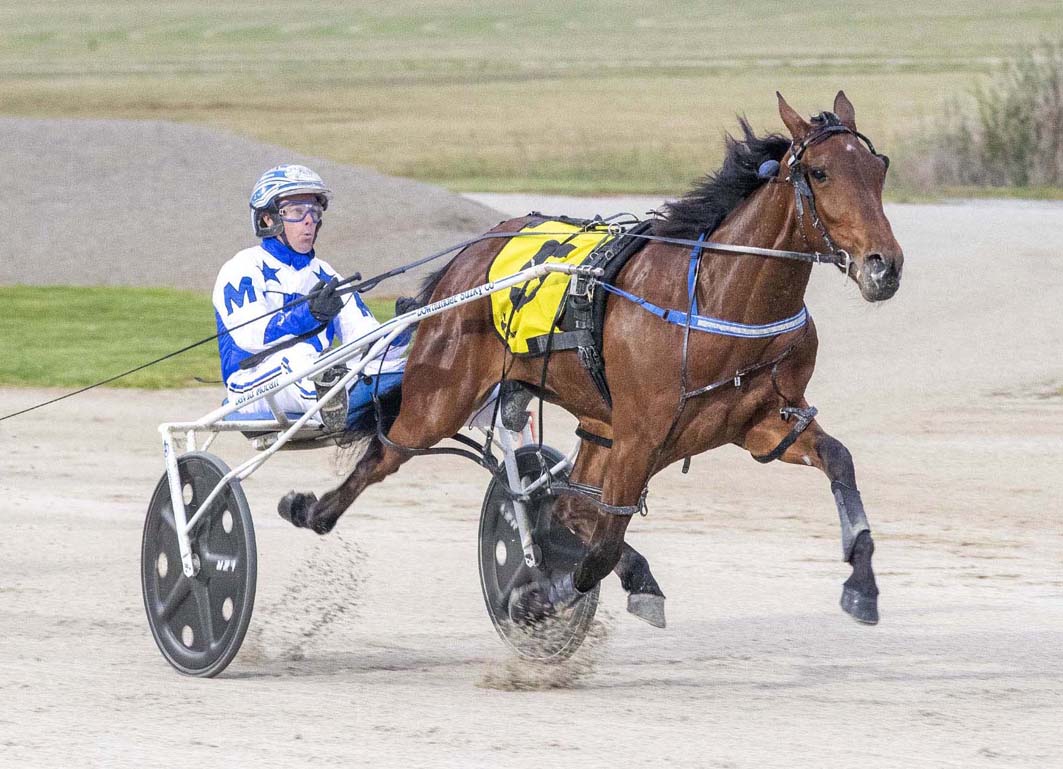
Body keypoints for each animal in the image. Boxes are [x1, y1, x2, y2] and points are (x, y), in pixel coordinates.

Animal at [279, 91, 903, 629]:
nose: (885, 265)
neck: (717, 299)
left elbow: (840, 460)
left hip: (597, 422)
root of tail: (467, 259)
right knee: (387, 454)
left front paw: (861, 584)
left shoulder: (760, 420)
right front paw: (537, 594)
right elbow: (597, 545)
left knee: (566, 504)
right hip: (441, 396)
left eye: (879, 169)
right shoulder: (640, 434)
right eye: (820, 173)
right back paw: (310, 509)